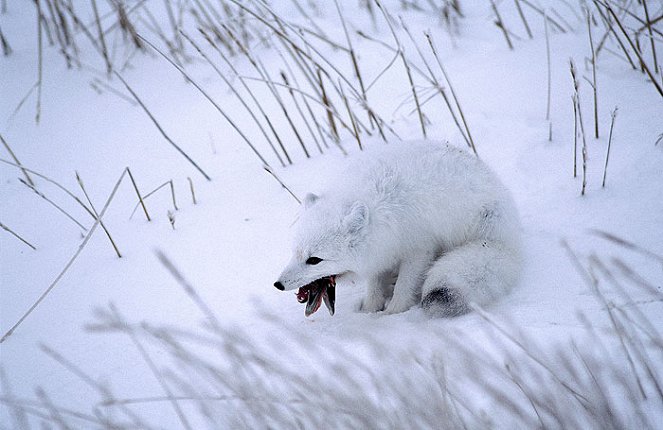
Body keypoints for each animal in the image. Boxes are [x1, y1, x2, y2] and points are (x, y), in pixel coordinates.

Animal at [272, 141, 520, 316]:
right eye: (294, 252)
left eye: (314, 260)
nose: (278, 284)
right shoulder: (378, 253)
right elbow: (374, 285)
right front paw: (369, 311)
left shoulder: (419, 249)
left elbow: (405, 285)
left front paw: (392, 314)